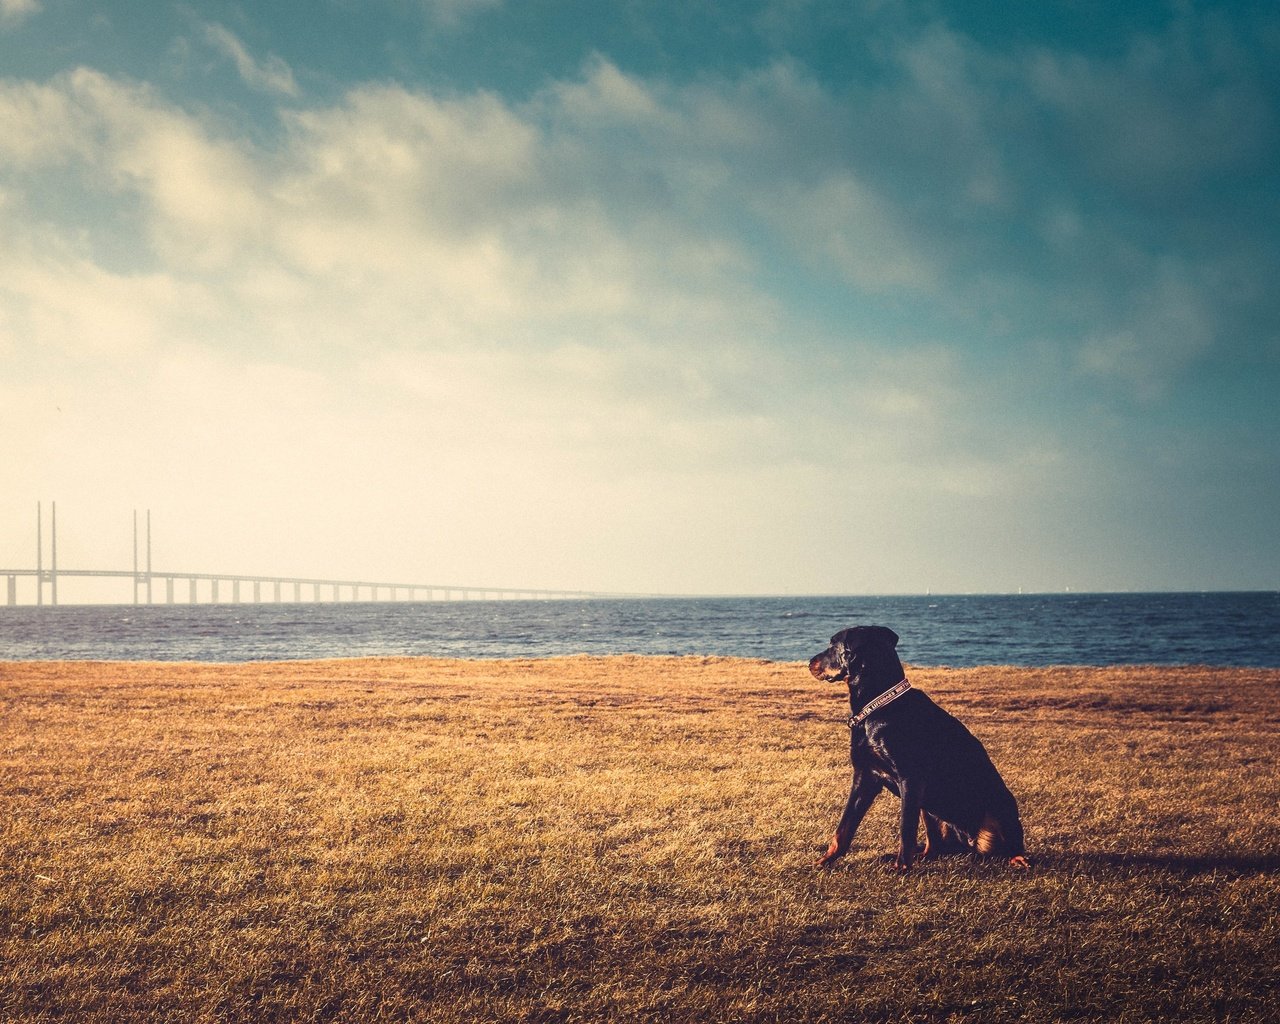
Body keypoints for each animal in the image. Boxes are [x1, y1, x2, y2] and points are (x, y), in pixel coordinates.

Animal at [808, 624, 1029, 870]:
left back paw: (1017, 857)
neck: (878, 705)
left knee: (1011, 843)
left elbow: (906, 829)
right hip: (929, 808)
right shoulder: (864, 777)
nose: (810, 662)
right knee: (935, 846)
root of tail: (969, 844)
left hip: (999, 806)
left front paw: (901, 868)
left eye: (832, 645)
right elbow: (844, 828)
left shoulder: (910, 779)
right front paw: (825, 861)